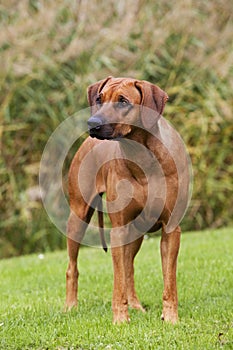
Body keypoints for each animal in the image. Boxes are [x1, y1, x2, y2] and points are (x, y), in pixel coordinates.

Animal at [64, 76, 190, 322]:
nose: (92, 123)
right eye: (99, 99)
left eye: (123, 101)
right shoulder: (119, 229)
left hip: (137, 231)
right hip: (77, 218)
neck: (142, 157)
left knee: (130, 267)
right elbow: (118, 280)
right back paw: (70, 306)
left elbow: (169, 280)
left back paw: (136, 306)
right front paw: (121, 319)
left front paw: (171, 318)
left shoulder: (171, 229)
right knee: (72, 267)